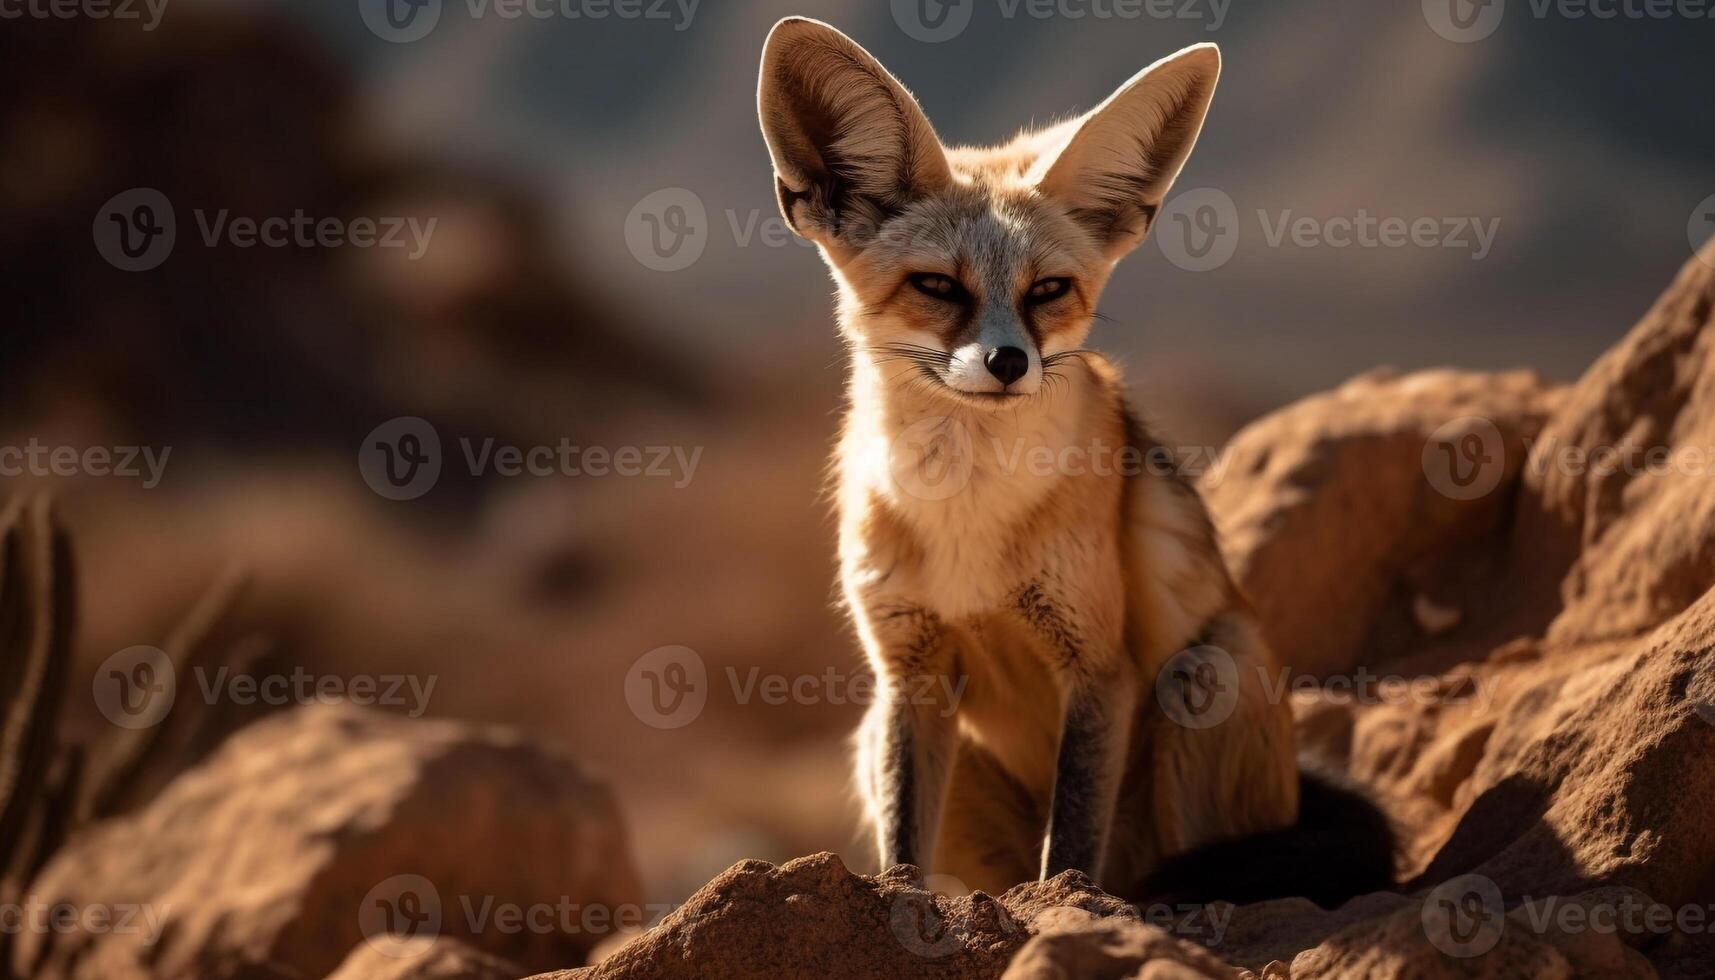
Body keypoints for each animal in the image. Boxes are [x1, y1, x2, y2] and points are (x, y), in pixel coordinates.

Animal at [758, 15, 1399, 906]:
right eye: (937, 286)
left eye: (1048, 291)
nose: (1007, 363)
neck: (967, 520)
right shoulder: (907, 672)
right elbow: (902, 850)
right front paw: (900, 903)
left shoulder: (1097, 665)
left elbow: (1068, 843)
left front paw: (1062, 905)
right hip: (877, 738)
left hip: (1208, 673)